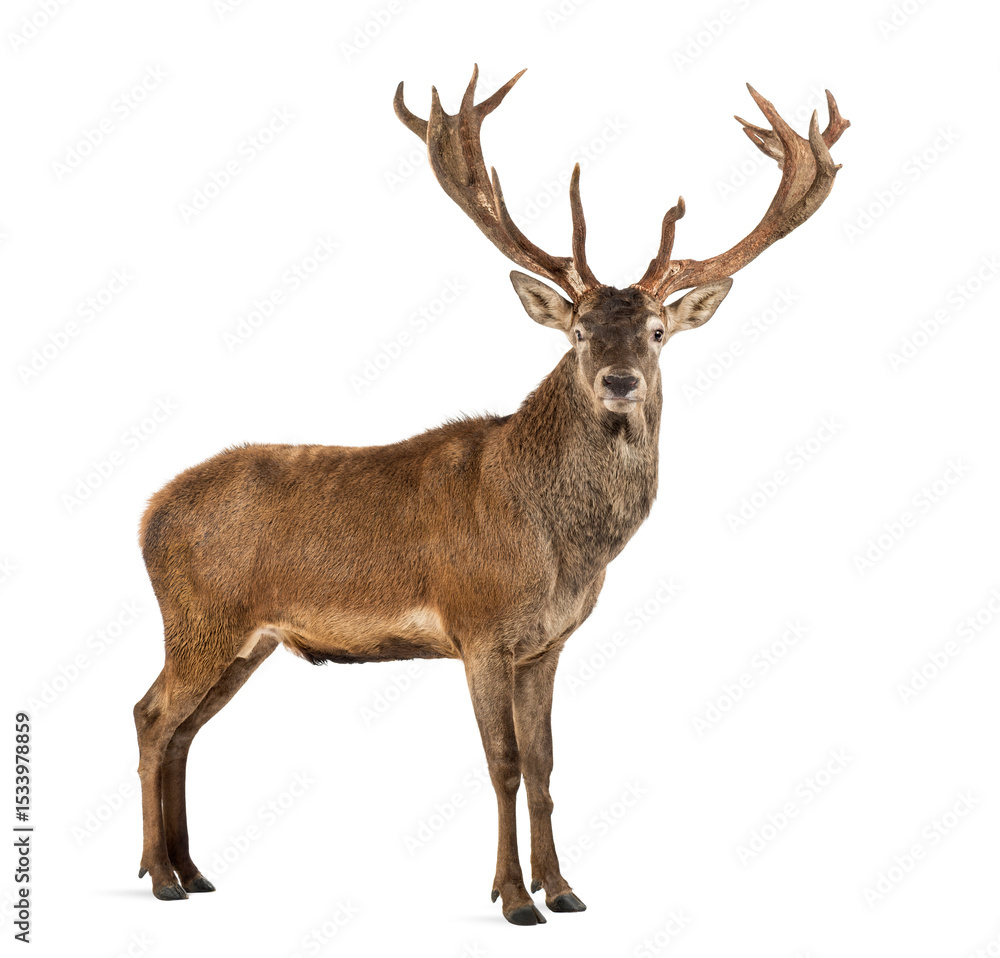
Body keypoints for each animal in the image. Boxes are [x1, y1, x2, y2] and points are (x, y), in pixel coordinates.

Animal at [133, 65, 848, 924]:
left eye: (657, 333)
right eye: (577, 330)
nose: (620, 381)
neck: (559, 547)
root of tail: (146, 513)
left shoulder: (547, 642)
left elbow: (544, 763)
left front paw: (564, 888)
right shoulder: (477, 626)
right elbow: (501, 763)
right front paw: (513, 897)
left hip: (245, 639)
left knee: (182, 730)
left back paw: (192, 870)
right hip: (199, 616)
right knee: (151, 717)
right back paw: (160, 874)